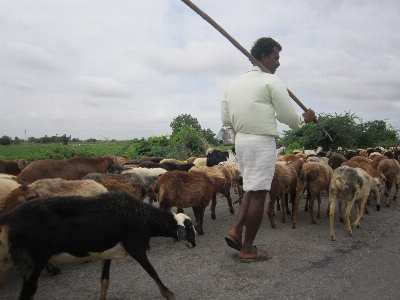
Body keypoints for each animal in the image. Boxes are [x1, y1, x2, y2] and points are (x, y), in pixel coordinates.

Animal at [0, 191, 197, 298]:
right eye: (188, 228)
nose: (195, 245)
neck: (143, 218)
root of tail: (7, 220)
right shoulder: (135, 246)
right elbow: (152, 272)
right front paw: (168, 293)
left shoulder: (107, 253)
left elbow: (104, 282)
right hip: (31, 264)